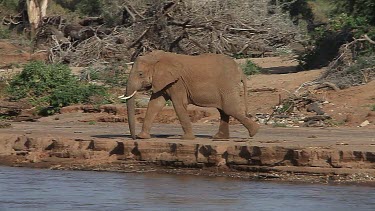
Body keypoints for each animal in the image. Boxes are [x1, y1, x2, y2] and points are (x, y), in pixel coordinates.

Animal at [122, 50, 260, 140]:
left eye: (140, 74)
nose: (133, 138)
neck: (156, 58)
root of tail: (240, 70)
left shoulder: (177, 82)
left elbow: (178, 104)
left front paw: (186, 139)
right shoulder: (164, 82)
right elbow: (155, 104)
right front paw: (142, 137)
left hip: (227, 85)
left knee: (229, 109)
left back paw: (254, 131)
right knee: (224, 111)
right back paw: (219, 138)